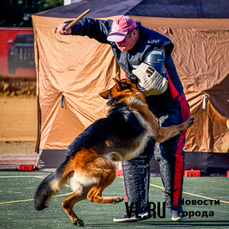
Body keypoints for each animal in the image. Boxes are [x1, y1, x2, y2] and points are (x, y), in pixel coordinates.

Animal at [34, 78, 194, 225]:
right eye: (130, 79)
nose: (135, 75)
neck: (122, 100)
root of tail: (70, 157)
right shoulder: (159, 132)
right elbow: (175, 127)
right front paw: (187, 122)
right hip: (109, 170)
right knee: (92, 196)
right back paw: (114, 199)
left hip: (85, 186)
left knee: (67, 202)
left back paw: (76, 219)